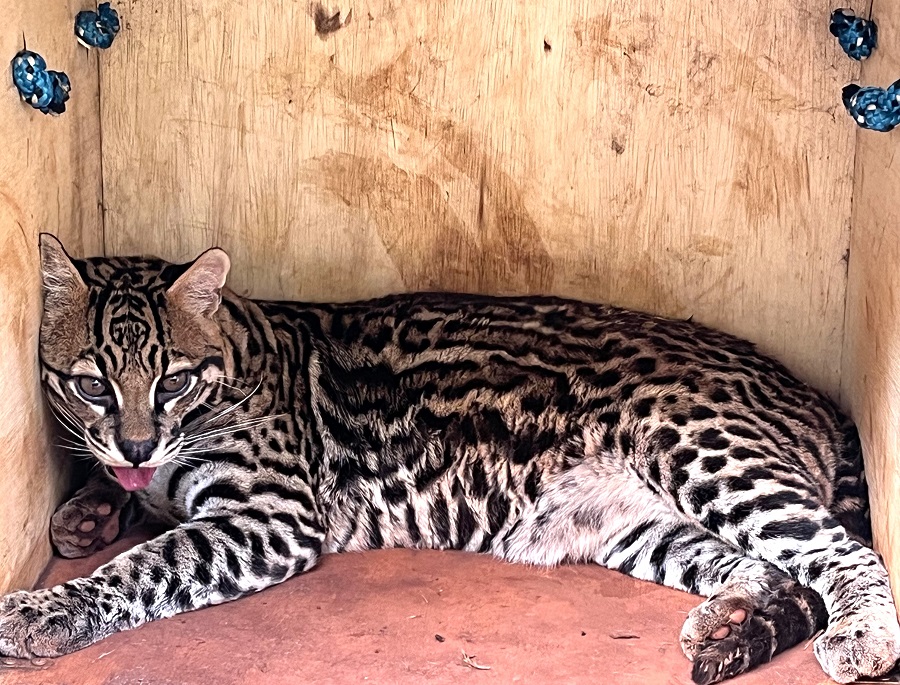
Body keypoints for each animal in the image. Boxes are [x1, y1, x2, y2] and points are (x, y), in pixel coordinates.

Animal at [1, 232, 900, 680]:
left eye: (175, 380)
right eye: (91, 384)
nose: (136, 443)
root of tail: (811, 390)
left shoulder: (271, 513)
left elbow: (150, 562)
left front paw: (47, 609)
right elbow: (129, 499)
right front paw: (93, 503)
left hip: (699, 445)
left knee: (842, 551)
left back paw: (862, 628)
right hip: (638, 523)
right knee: (770, 568)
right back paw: (733, 615)